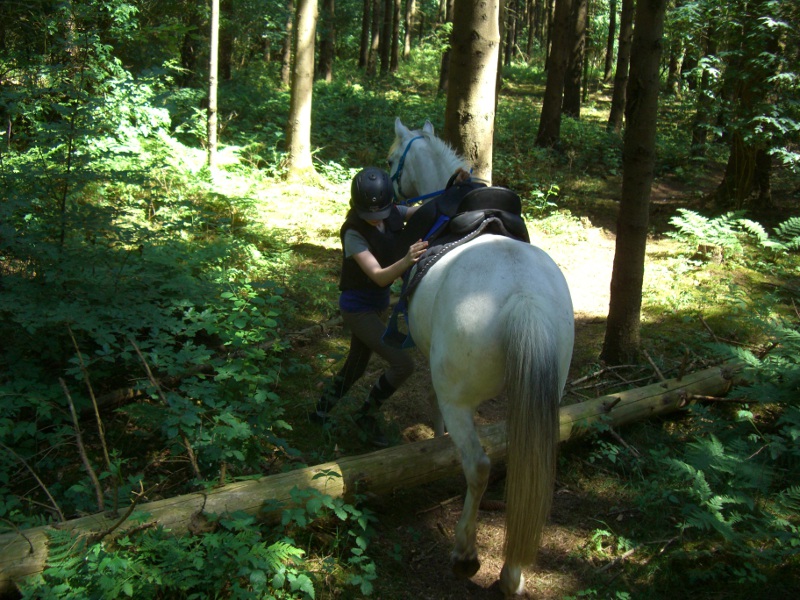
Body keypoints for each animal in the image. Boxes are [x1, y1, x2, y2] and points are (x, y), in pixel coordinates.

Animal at [387, 117, 574, 596]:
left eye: (391, 158)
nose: (394, 205)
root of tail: (524, 298)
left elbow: (434, 407)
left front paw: (435, 441)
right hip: (538, 395)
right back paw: (512, 575)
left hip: (462, 401)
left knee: (479, 465)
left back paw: (465, 554)